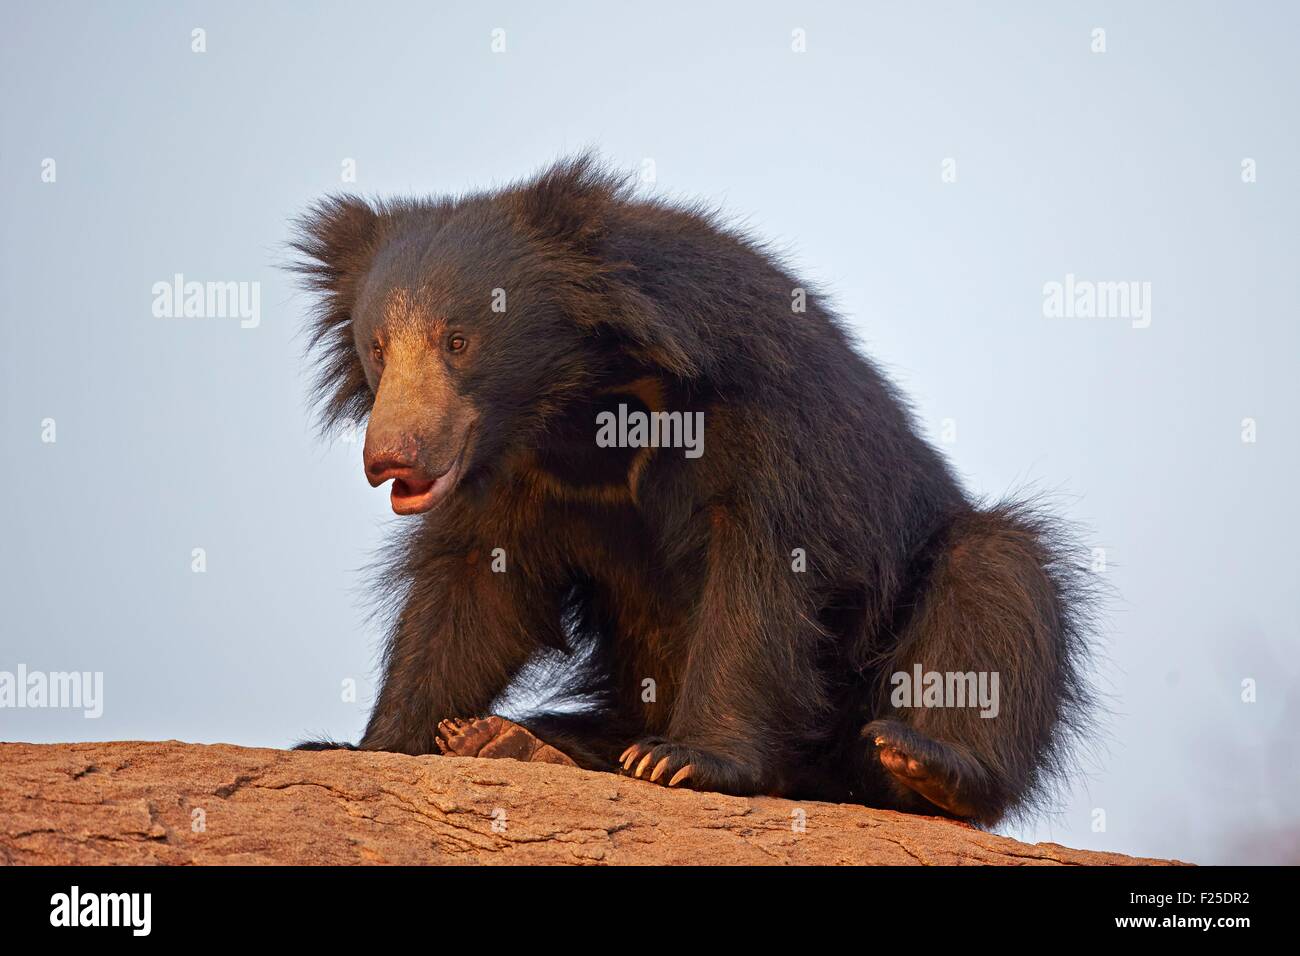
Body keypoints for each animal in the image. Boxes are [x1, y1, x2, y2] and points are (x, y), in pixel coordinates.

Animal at [289, 155, 1092, 822]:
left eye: (458, 341)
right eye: (378, 348)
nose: (391, 459)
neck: (581, 407)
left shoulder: (761, 416)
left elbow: (761, 572)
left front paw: (685, 761)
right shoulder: (508, 472)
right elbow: (472, 593)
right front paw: (368, 746)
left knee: (993, 574)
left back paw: (929, 764)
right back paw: (508, 742)